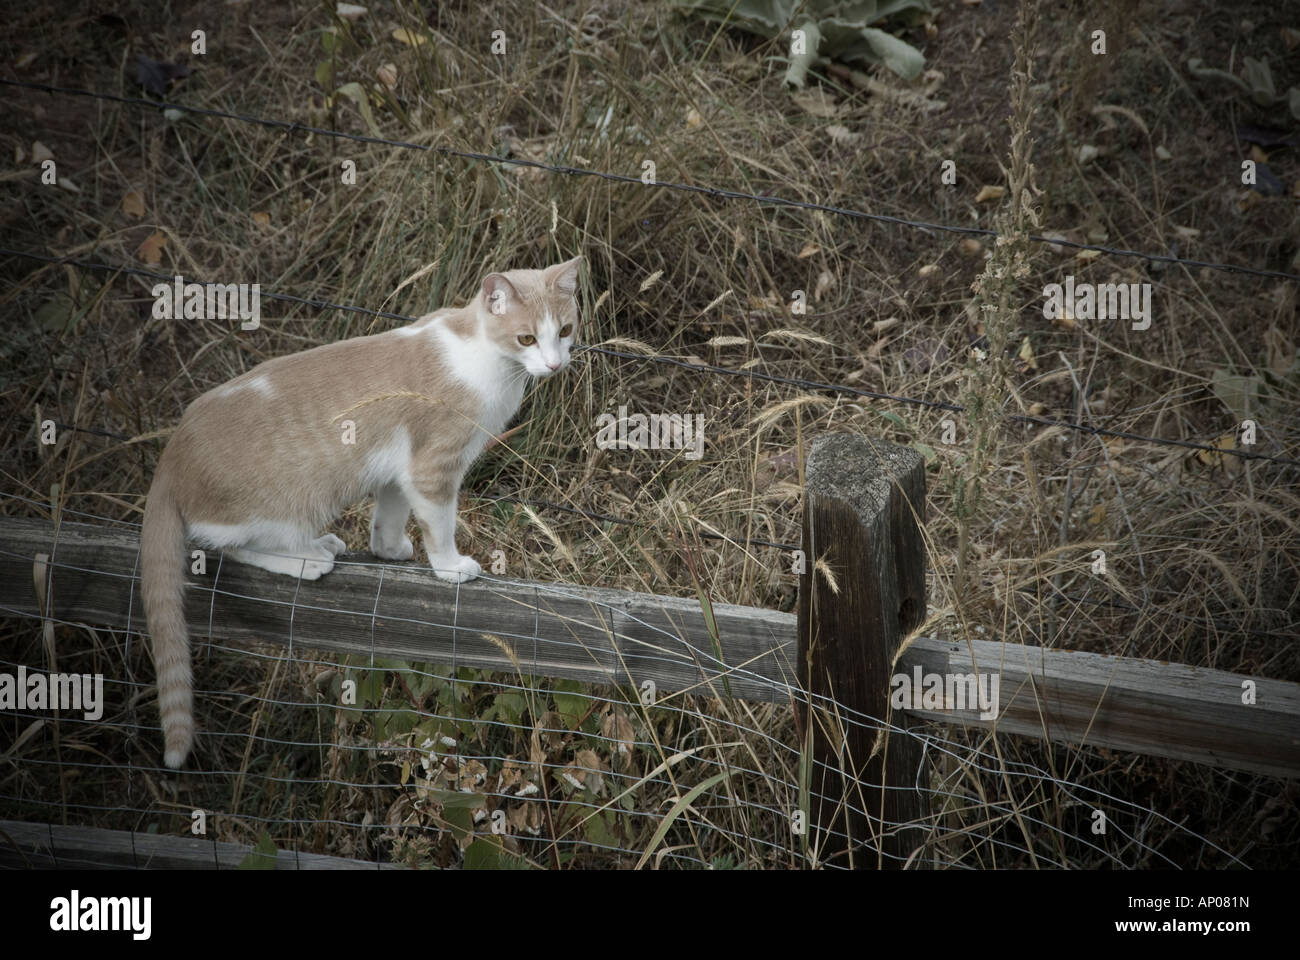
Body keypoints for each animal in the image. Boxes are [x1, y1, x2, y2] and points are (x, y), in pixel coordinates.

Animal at [139, 254, 582, 764]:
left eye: (565, 330)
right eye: (526, 338)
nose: (555, 363)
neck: (483, 357)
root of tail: (171, 454)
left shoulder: (399, 469)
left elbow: (389, 516)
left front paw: (389, 551)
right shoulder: (433, 467)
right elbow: (440, 524)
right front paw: (450, 567)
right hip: (282, 503)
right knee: (235, 546)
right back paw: (309, 556)